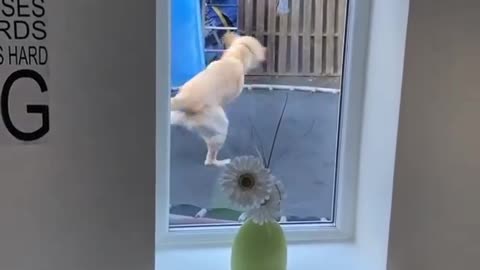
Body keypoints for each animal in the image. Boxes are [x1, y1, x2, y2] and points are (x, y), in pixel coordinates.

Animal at [170, 33, 266, 167]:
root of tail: (186, 99)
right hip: (220, 127)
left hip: (180, 117)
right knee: (209, 160)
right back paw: (221, 162)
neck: (235, 56)